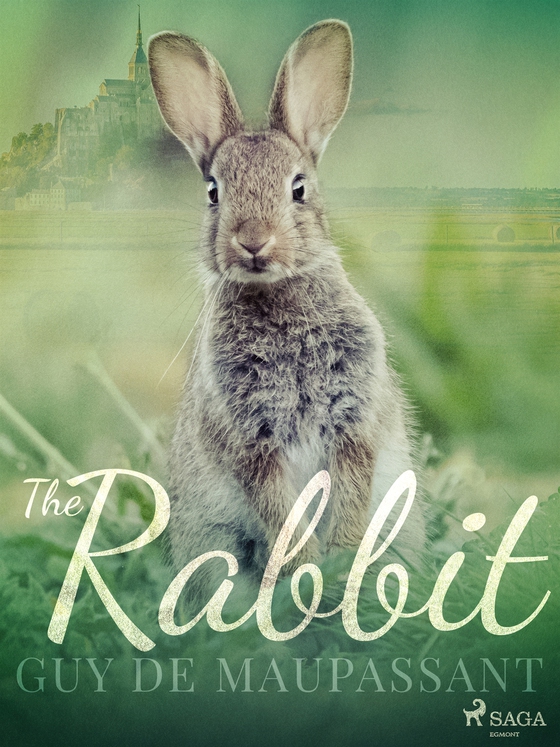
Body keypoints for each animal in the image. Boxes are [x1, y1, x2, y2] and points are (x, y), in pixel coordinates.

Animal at [148, 20, 427, 604]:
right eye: (214, 192)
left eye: (298, 189)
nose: (253, 242)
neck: (280, 300)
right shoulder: (249, 439)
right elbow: (280, 510)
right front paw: (311, 570)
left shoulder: (354, 418)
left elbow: (352, 487)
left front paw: (342, 560)